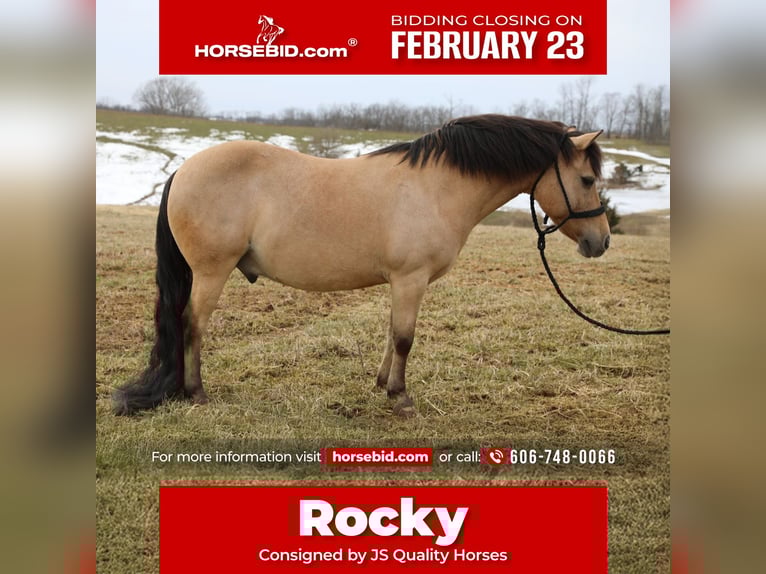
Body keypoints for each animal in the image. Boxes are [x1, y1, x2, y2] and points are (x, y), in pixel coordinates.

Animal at [112, 115, 608, 417]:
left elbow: (392, 333)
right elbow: (405, 337)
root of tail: (183, 169)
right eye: (587, 179)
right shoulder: (411, 279)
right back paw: (196, 393)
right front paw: (401, 398)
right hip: (211, 272)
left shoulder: (402, 282)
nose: (601, 241)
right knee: (192, 325)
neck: (437, 187)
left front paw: (382, 383)